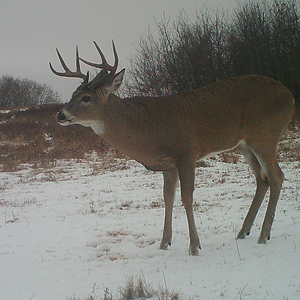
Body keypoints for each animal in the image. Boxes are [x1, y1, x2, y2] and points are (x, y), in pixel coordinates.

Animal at [50, 40, 294, 255]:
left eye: (86, 98)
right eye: (72, 94)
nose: (60, 114)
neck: (146, 129)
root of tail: (290, 96)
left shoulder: (186, 154)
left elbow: (186, 197)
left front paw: (194, 246)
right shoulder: (167, 164)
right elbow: (168, 197)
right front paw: (164, 243)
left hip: (265, 136)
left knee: (277, 176)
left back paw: (263, 235)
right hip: (245, 144)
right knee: (262, 179)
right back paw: (244, 231)